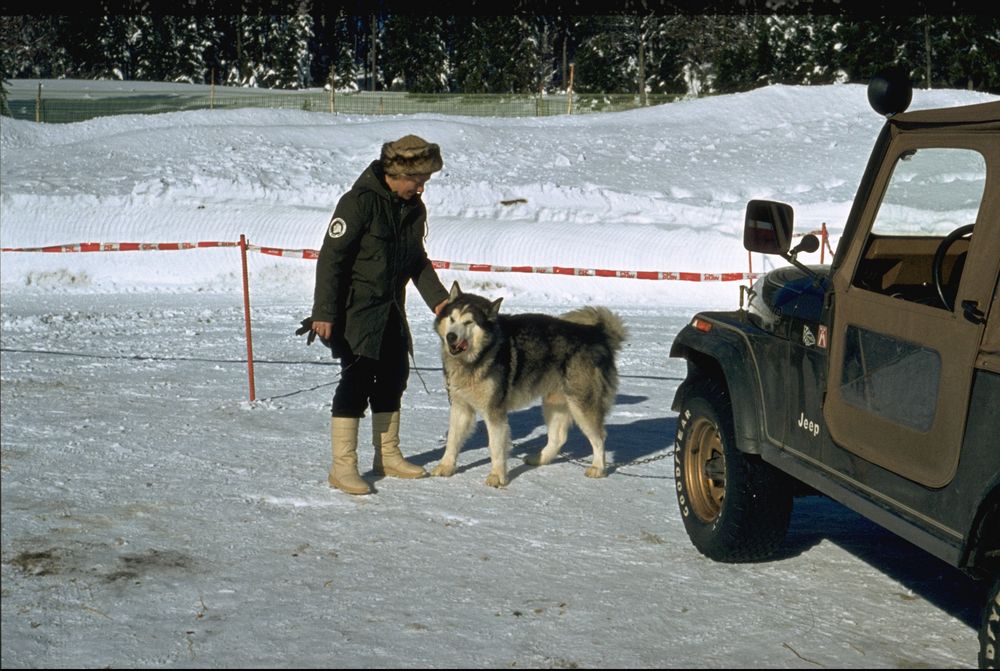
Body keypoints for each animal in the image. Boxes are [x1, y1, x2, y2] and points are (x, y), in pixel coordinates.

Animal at [430, 280, 624, 486]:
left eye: (469, 322)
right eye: (452, 319)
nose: (451, 336)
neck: (479, 355)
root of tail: (597, 334)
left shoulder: (494, 411)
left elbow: (495, 447)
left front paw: (497, 476)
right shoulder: (461, 407)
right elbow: (453, 440)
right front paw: (446, 466)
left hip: (582, 404)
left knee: (599, 437)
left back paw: (598, 468)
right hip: (554, 403)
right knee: (558, 438)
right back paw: (539, 458)